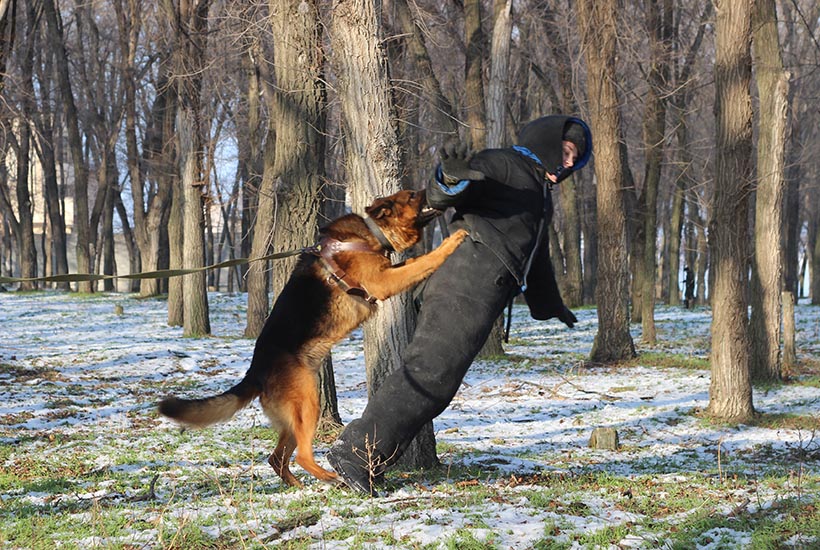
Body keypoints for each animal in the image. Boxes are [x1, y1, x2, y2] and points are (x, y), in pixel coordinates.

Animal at [158, 189, 467, 487]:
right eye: (413, 196)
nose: (434, 189)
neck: (371, 232)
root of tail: (256, 371)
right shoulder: (384, 282)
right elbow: (423, 261)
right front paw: (451, 242)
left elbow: (414, 261)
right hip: (309, 405)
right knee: (302, 456)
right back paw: (330, 477)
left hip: (294, 418)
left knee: (276, 458)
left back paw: (299, 485)